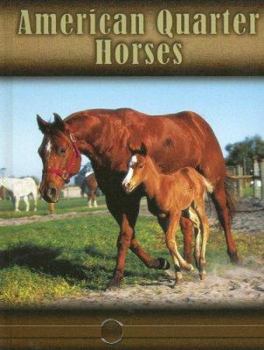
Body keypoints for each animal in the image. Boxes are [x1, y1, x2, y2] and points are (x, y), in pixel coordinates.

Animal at [122, 144, 213, 284]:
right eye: (128, 164)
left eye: (141, 165)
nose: (125, 185)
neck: (159, 188)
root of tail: (196, 174)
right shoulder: (161, 217)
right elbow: (170, 242)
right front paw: (178, 276)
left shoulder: (174, 213)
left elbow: (169, 240)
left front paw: (187, 267)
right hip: (186, 210)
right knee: (197, 223)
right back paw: (198, 261)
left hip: (197, 203)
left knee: (205, 225)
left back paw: (202, 265)